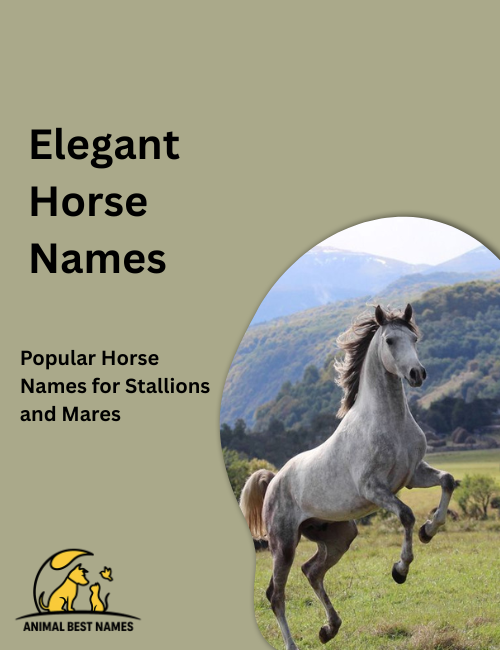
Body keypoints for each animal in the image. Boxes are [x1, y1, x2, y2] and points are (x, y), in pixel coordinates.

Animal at [240, 304, 458, 650]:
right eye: (390, 340)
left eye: (414, 338)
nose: (417, 374)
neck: (388, 422)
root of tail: (274, 480)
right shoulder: (374, 488)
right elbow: (406, 515)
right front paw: (400, 569)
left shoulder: (413, 474)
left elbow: (447, 480)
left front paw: (429, 530)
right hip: (283, 543)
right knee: (276, 594)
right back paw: (295, 643)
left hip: (339, 536)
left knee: (312, 571)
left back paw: (329, 628)